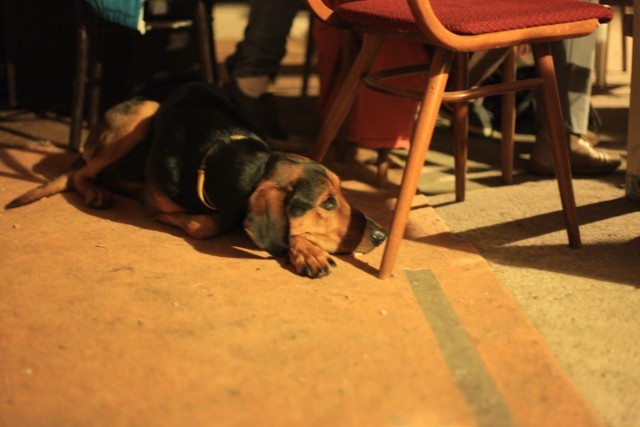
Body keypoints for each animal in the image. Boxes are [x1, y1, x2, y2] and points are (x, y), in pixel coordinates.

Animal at [5, 83, 387, 278]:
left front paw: (305, 249)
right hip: (144, 111)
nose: (382, 234)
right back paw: (97, 191)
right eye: (327, 202)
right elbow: (204, 224)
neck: (222, 156)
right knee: (82, 173)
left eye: (341, 193)